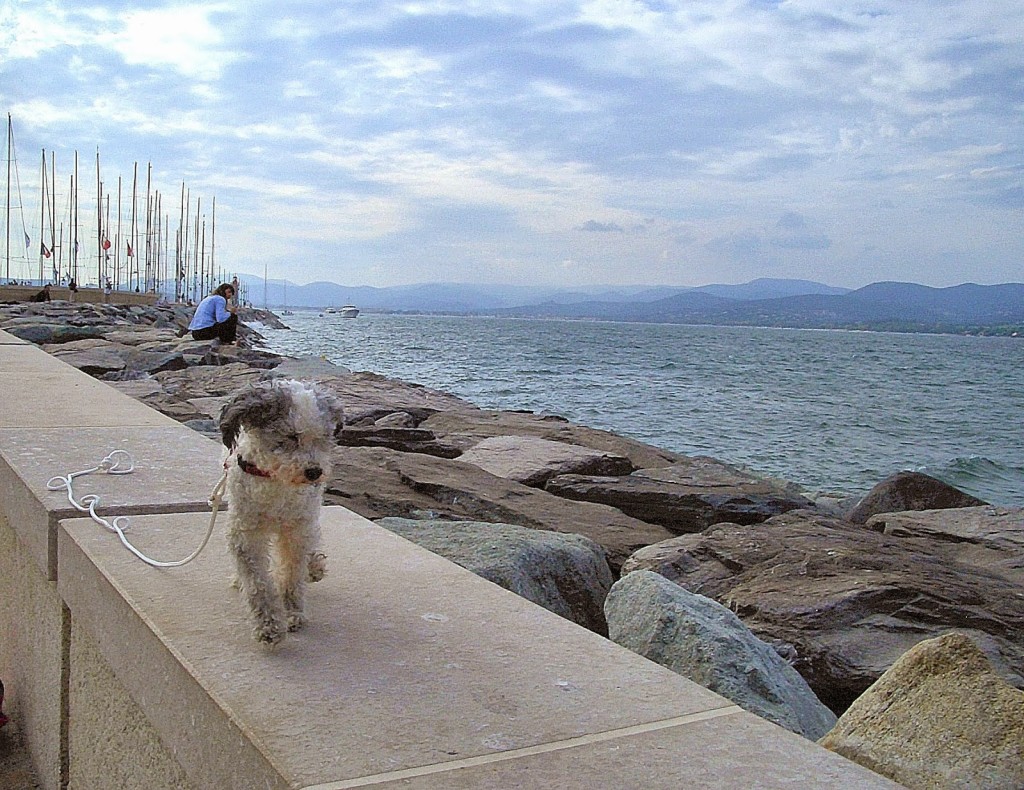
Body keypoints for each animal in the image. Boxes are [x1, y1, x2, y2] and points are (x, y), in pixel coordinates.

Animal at [216, 379, 344, 647]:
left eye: (324, 438)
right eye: (291, 436)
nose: (314, 472)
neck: (276, 479)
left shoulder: (296, 528)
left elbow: (293, 573)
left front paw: (293, 612)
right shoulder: (245, 533)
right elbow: (258, 584)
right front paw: (269, 626)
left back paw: (314, 566)